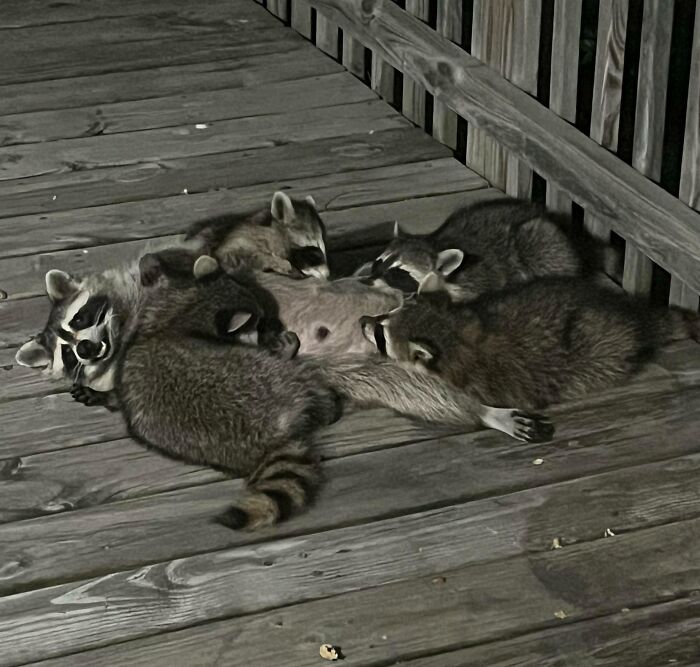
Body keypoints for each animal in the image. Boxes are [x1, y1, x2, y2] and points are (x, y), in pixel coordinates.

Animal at [361, 273, 700, 409]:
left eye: (381, 336)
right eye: (386, 314)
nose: (363, 321)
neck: (453, 331)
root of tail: (632, 316)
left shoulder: (483, 380)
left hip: (602, 352)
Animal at [363, 198, 593, 301]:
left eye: (398, 273)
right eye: (378, 264)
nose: (367, 282)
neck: (437, 244)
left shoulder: (476, 281)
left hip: (545, 244)